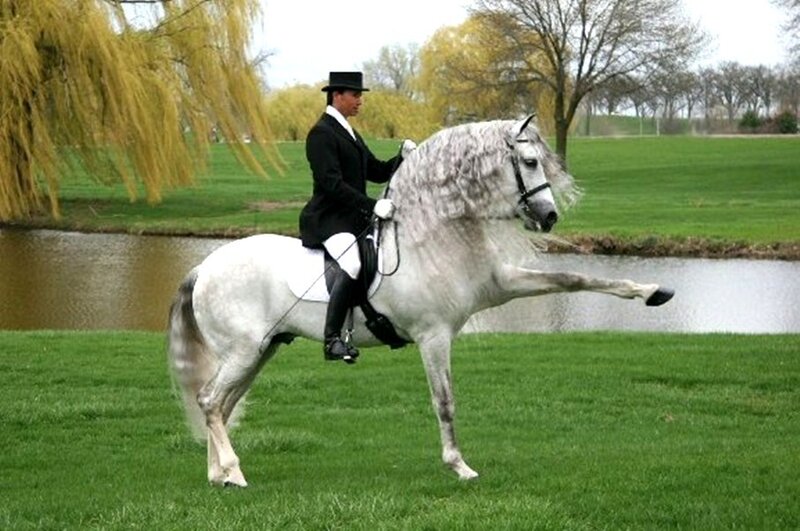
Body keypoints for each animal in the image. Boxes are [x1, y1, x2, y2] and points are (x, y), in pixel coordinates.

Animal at [167, 115, 674, 487]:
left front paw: (651, 292)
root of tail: (202, 269)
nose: (548, 217)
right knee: (210, 401)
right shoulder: (434, 336)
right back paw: (233, 472)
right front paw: (459, 466)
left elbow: (573, 277)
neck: (436, 234)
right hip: (243, 351)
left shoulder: (501, 285)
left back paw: (218, 475)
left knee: (220, 406)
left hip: (260, 351)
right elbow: (444, 400)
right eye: (529, 161)